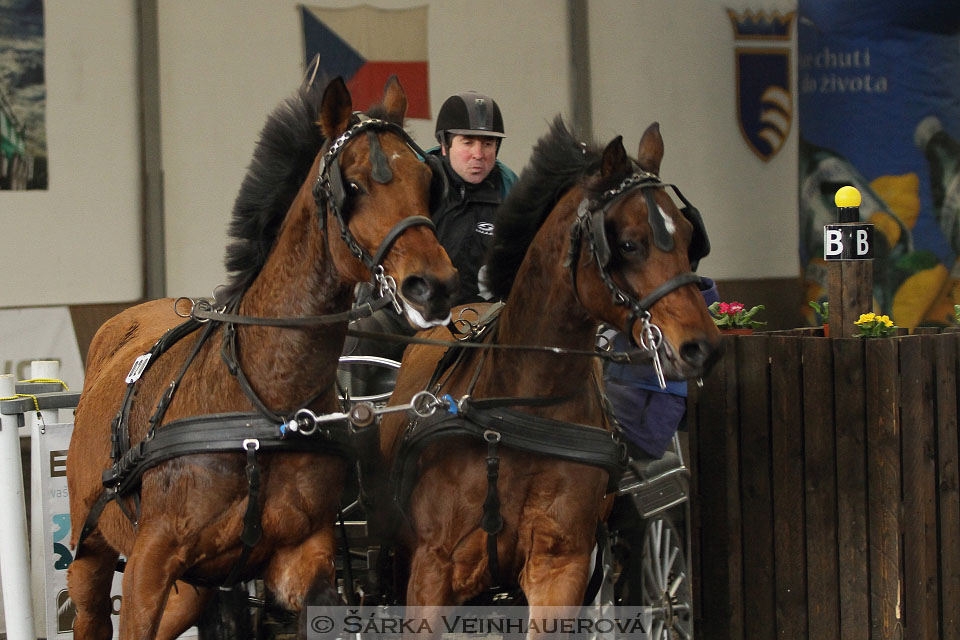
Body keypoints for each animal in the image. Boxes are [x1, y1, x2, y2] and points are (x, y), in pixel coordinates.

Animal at [65, 72, 460, 636]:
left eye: (427, 181)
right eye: (354, 185)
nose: (435, 286)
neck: (260, 404)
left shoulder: (302, 555)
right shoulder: (147, 565)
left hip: (193, 591)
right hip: (91, 553)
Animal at [376, 117, 720, 624]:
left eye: (688, 238)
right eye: (628, 243)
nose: (702, 347)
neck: (519, 412)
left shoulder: (560, 566)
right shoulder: (431, 569)